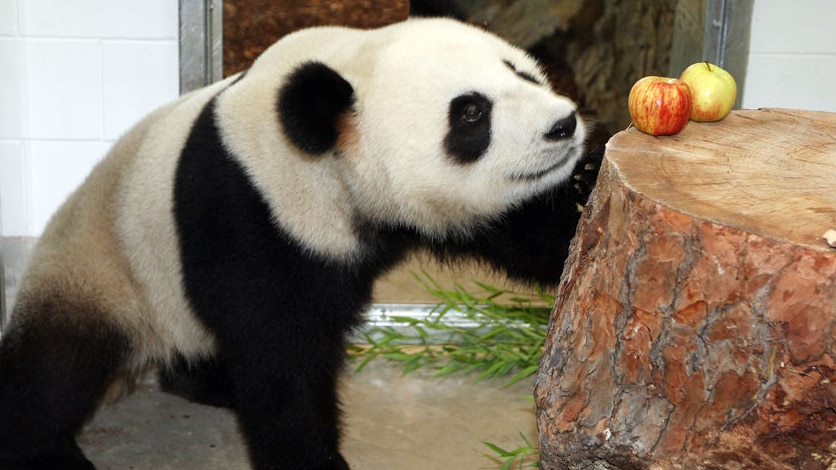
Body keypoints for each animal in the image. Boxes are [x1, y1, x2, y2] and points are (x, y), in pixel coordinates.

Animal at [0, 9, 592, 470]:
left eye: (522, 72)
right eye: (471, 113)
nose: (563, 125)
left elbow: (540, 237)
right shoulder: (248, 207)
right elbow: (277, 351)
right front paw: (313, 460)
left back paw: (210, 382)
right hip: (102, 267)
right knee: (55, 368)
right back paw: (48, 449)